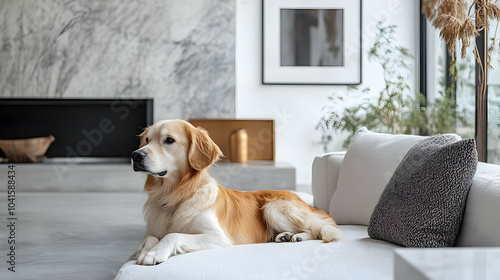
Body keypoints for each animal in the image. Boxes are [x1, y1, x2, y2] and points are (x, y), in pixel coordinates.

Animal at [129, 120, 342, 264]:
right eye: (146, 140)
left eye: (169, 140)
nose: (135, 155)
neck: (174, 196)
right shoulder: (154, 229)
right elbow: (150, 238)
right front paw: (143, 250)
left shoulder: (218, 236)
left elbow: (173, 235)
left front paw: (154, 253)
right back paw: (285, 236)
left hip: (273, 207)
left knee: (312, 230)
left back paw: (297, 237)